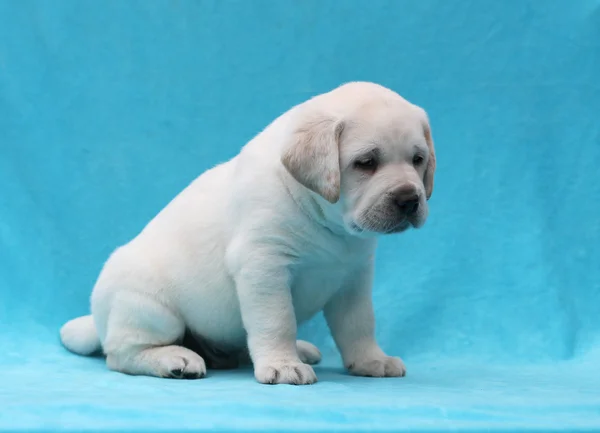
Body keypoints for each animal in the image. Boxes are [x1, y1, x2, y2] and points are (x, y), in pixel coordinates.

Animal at [61, 82, 436, 384]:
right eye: (366, 163)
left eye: (418, 160)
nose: (409, 199)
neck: (326, 223)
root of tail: (99, 321)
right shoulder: (264, 266)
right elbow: (278, 320)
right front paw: (284, 366)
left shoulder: (354, 278)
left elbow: (359, 324)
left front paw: (371, 360)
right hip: (150, 310)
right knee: (121, 354)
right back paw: (173, 358)